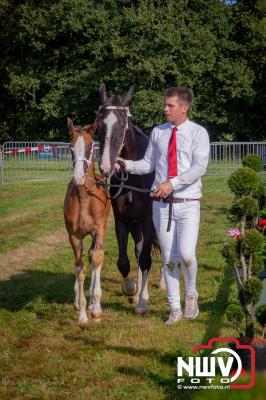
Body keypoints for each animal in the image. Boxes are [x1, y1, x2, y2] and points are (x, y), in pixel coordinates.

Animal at [97, 83, 160, 316]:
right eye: (99, 124)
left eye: (122, 123)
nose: (106, 166)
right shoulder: (122, 220)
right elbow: (124, 261)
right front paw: (132, 290)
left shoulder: (149, 221)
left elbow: (146, 260)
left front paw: (142, 304)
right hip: (135, 224)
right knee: (138, 250)